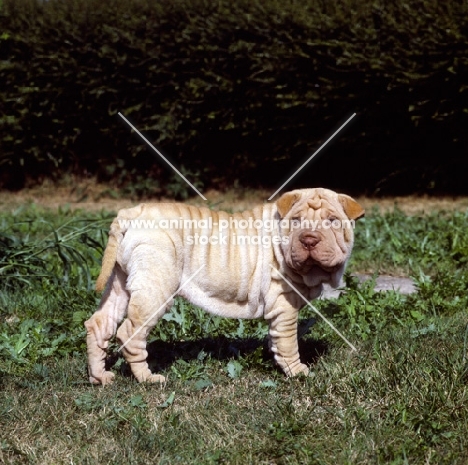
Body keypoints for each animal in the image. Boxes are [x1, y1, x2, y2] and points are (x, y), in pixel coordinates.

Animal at [85, 186, 366, 384]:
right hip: (155, 286)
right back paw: (148, 378)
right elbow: (288, 341)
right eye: (296, 221)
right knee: (129, 333)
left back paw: (100, 377)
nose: (309, 239)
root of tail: (134, 212)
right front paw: (298, 373)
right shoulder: (285, 305)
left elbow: (276, 339)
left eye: (332, 221)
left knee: (99, 324)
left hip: (121, 281)